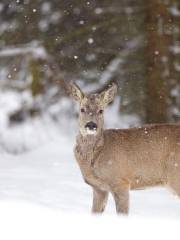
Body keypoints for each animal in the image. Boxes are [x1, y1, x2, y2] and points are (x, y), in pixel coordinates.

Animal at [67, 82, 180, 214]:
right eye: (82, 109)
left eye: (101, 110)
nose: (91, 125)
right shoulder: (99, 188)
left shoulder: (121, 182)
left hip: (175, 175)